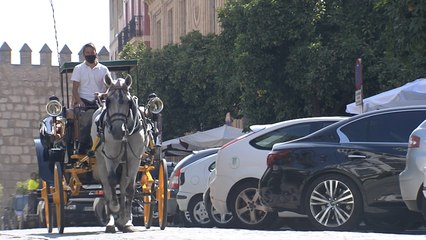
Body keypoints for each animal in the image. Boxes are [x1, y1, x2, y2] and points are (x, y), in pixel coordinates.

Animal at [90, 74, 146, 232]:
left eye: (128, 102)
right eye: (108, 101)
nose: (117, 131)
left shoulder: (135, 159)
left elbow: (129, 189)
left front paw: (127, 221)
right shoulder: (110, 157)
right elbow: (111, 181)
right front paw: (114, 208)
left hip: (124, 162)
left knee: (122, 184)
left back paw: (122, 220)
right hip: (101, 160)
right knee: (107, 186)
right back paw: (111, 221)